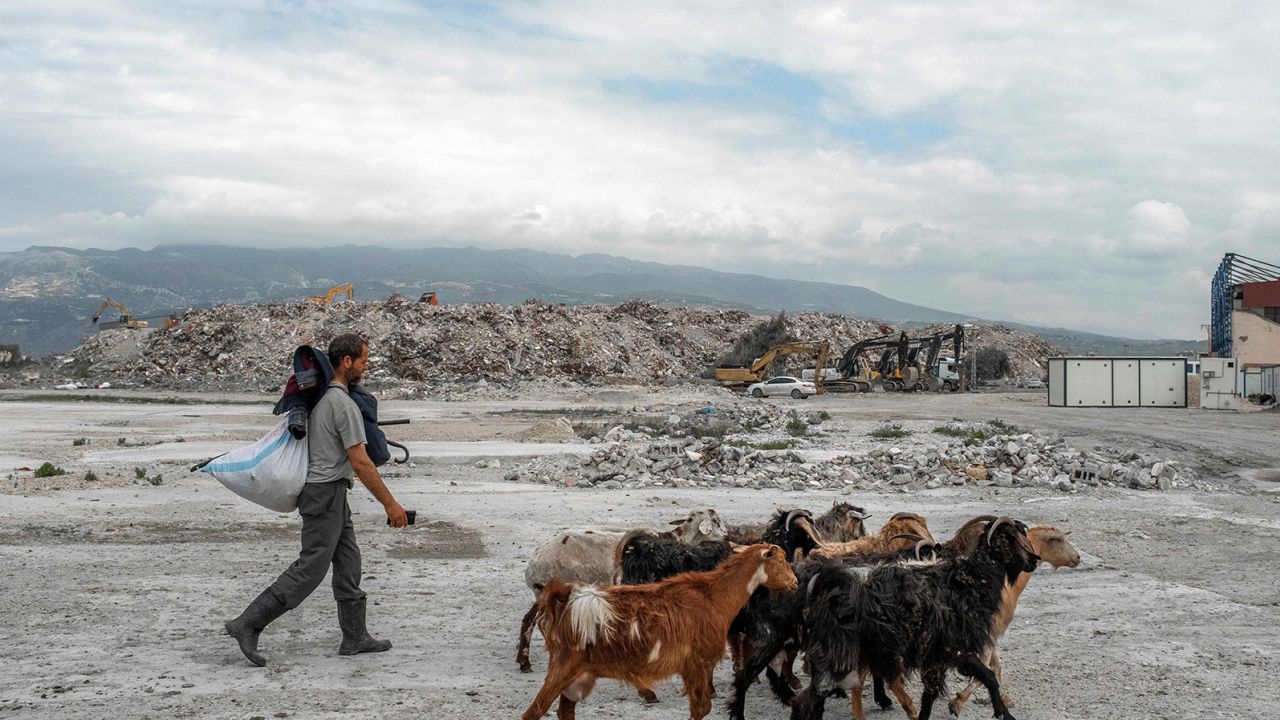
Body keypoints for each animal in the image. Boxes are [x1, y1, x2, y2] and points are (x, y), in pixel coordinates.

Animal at [517, 543, 793, 717]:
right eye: (781, 561)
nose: (795, 581)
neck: (713, 596)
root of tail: (562, 601)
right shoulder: (697, 664)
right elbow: (701, 708)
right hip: (563, 666)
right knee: (533, 711)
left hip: (577, 677)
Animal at [788, 515, 1039, 717]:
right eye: (1010, 537)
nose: (1034, 559)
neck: (971, 580)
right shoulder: (954, 649)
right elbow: (985, 677)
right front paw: (1003, 712)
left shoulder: (940, 655)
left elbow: (936, 694)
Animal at [952, 525, 1080, 712]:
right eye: (1059, 540)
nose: (1077, 557)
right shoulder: (990, 631)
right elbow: (986, 667)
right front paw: (957, 702)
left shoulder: (990, 634)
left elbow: (995, 666)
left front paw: (1004, 698)